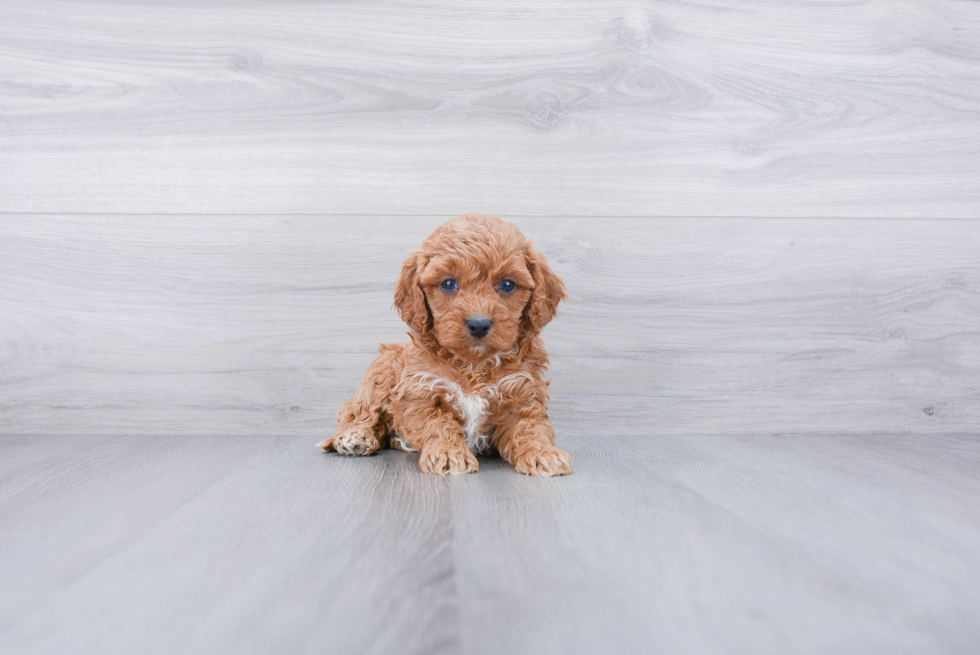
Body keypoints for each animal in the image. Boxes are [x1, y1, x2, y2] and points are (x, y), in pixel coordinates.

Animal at [318, 215, 572, 476]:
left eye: (508, 285)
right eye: (449, 284)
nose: (479, 324)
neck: (473, 364)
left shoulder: (523, 395)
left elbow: (530, 428)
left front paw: (543, 453)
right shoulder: (418, 395)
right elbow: (439, 424)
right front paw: (449, 453)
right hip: (380, 373)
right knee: (355, 412)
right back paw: (355, 437)